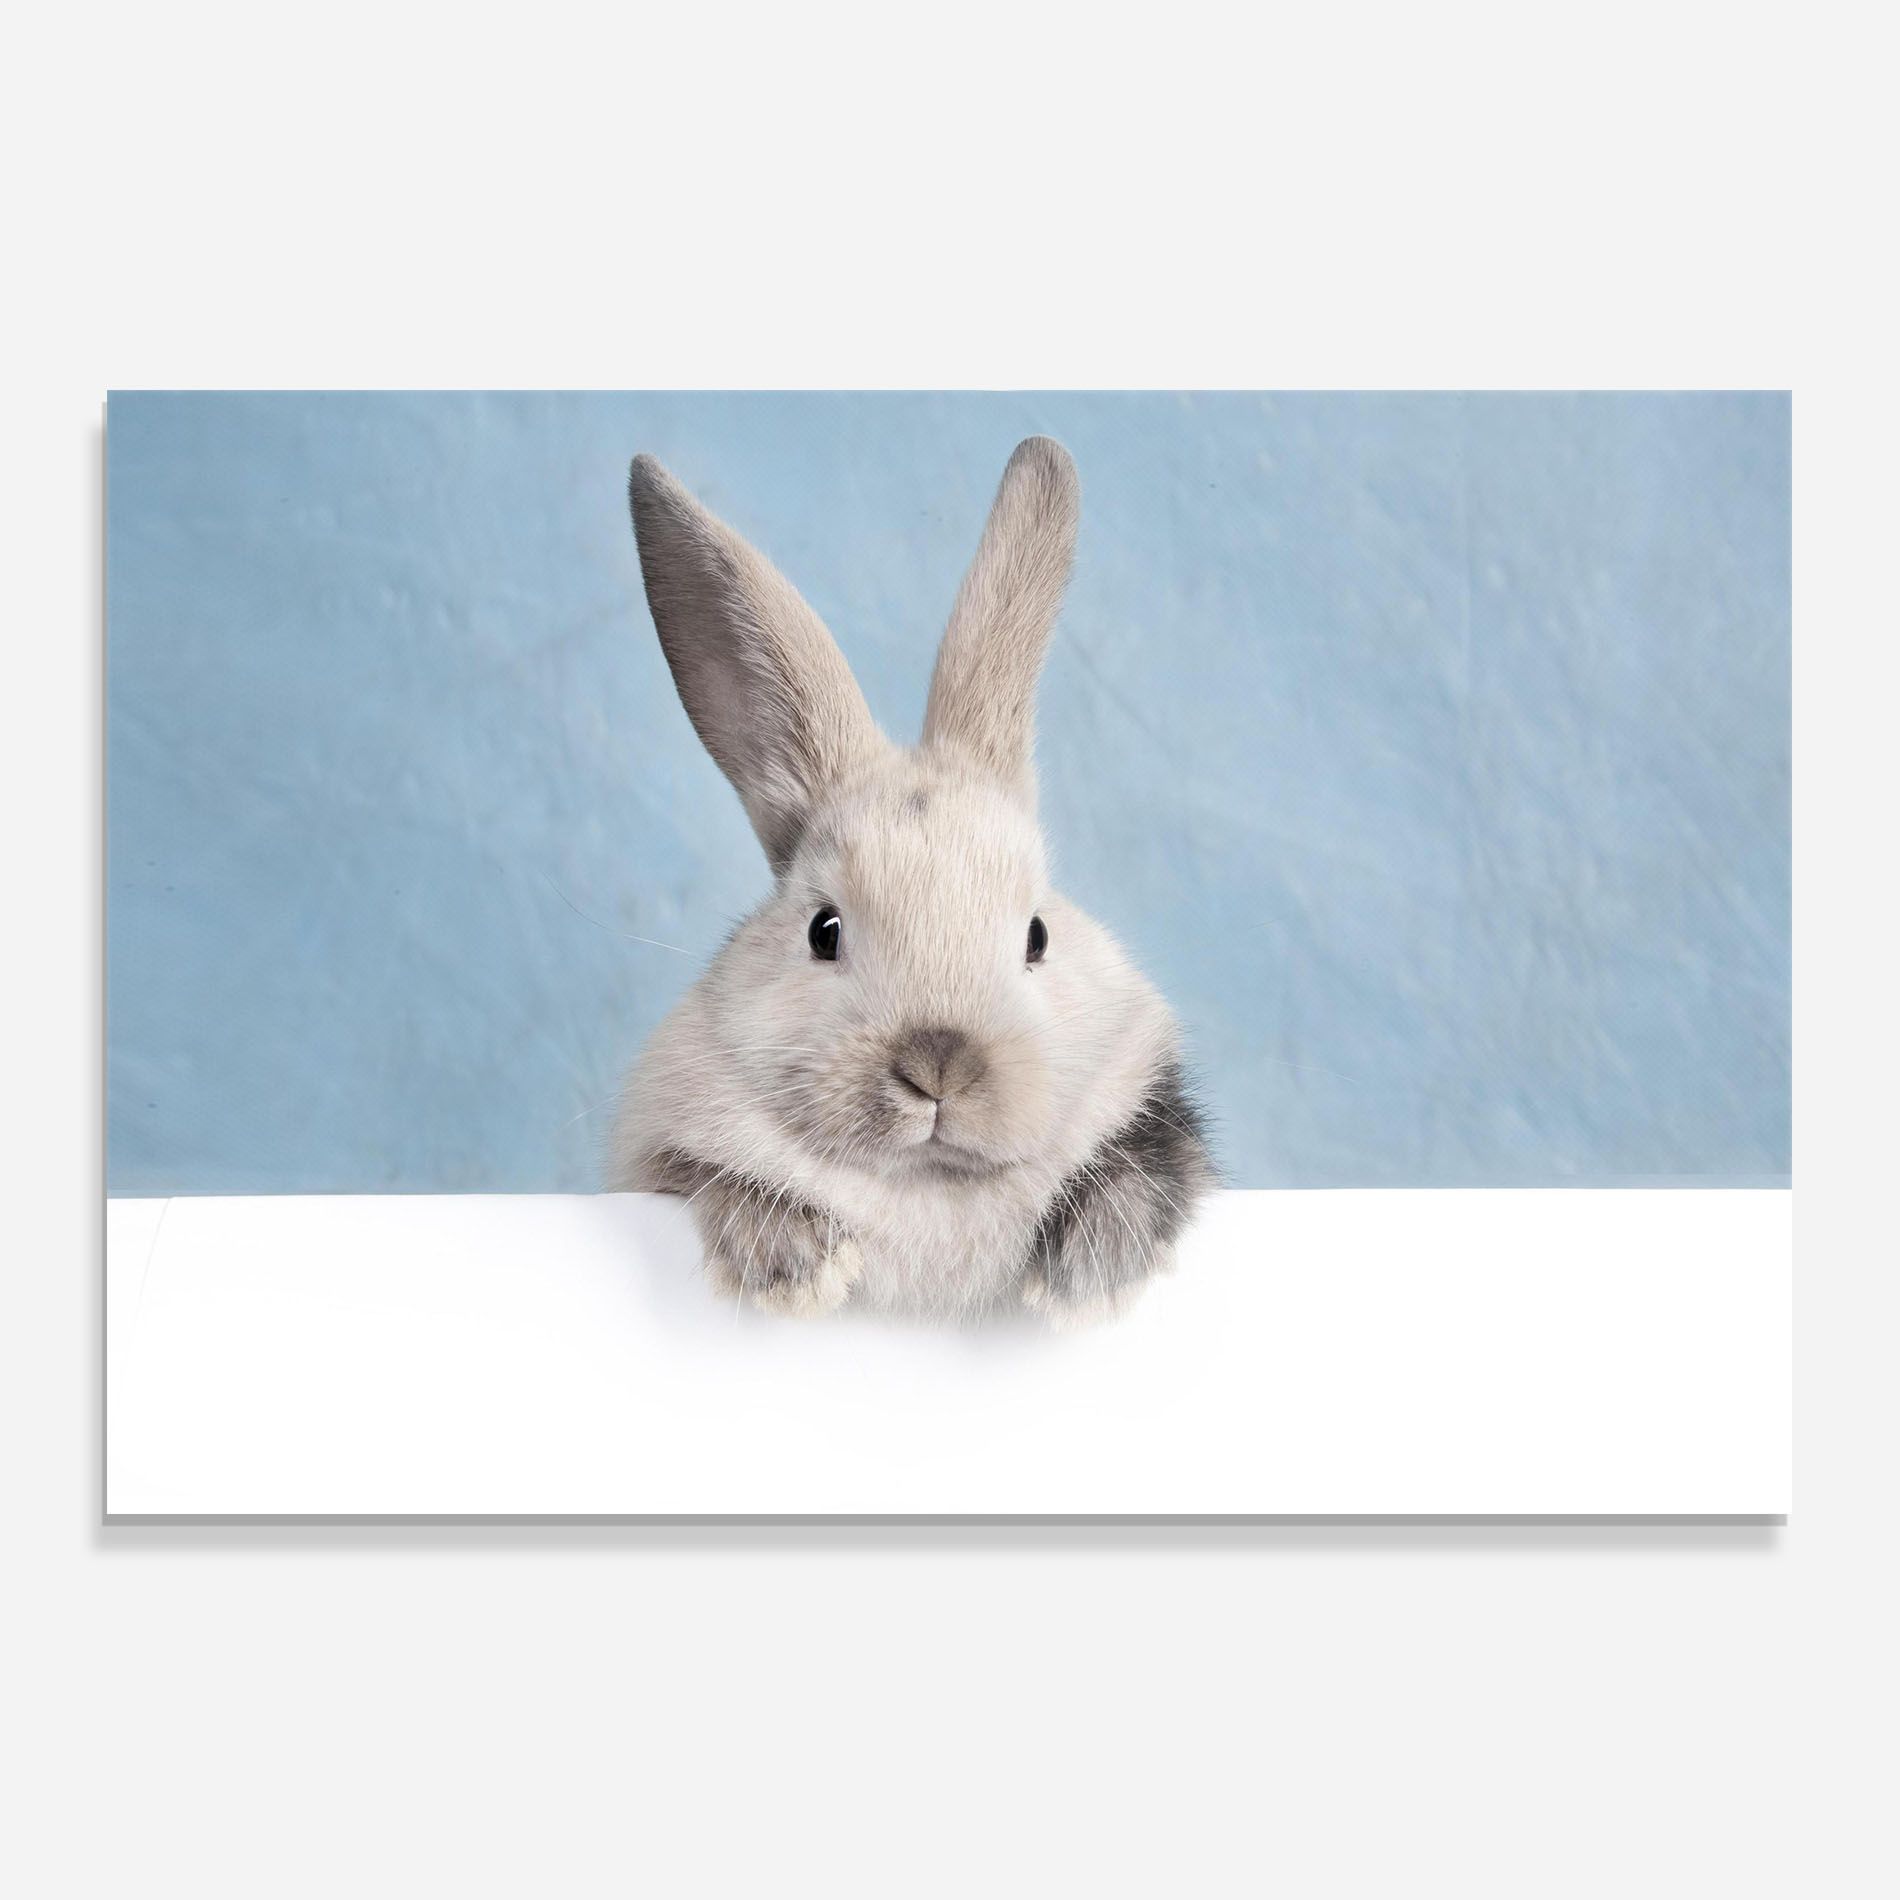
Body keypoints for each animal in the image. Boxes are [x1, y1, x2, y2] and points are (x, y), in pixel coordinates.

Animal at [607, 436, 1215, 1324]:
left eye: (1037, 935)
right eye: (823, 931)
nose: (940, 1066)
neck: (929, 1191)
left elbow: (1136, 1171)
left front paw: (1089, 1275)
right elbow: (723, 1183)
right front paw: (799, 1268)